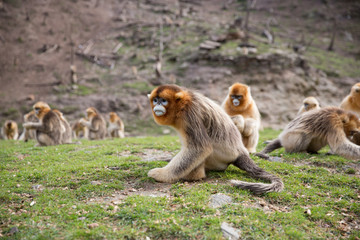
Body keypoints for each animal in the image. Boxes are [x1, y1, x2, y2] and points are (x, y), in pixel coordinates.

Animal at [148, 84, 282, 195]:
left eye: (163, 101)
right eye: (155, 100)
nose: (157, 105)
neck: (184, 103)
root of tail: (241, 152)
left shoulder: (190, 114)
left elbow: (200, 148)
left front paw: (161, 174)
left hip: (221, 157)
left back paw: (193, 177)